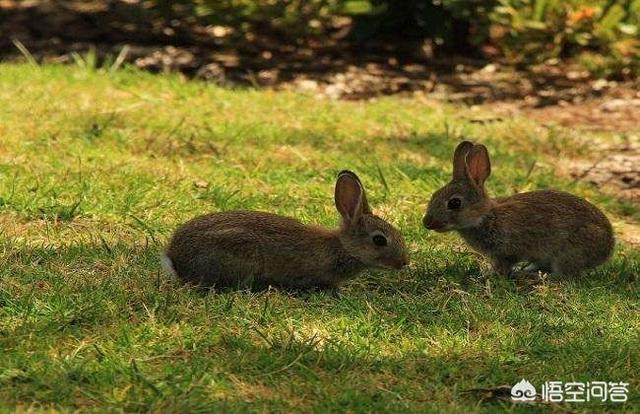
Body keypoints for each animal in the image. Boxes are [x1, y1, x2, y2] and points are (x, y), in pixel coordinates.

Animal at [420, 141, 616, 276]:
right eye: (434, 195)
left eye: (454, 203)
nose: (427, 222)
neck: (486, 216)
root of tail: (608, 248)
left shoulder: (506, 253)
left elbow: (503, 266)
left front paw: (488, 275)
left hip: (568, 253)